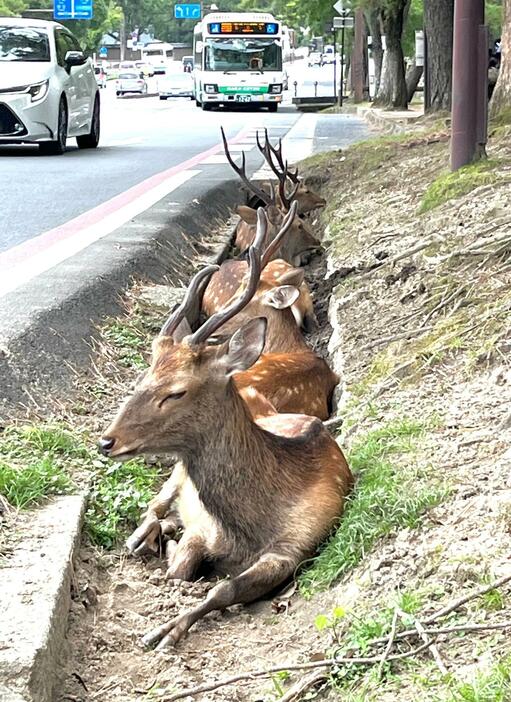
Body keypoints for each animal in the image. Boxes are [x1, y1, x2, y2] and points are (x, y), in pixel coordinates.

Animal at [101, 224, 356, 648]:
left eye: (176, 391)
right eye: (142, 377)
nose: (107, 440)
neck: (245, 531)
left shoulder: (298, 543)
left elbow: (224, 588)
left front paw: (166, 631)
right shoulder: (201, 528)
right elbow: (180, 570)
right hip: (177, 475)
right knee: (155, 503)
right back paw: (144, 536)